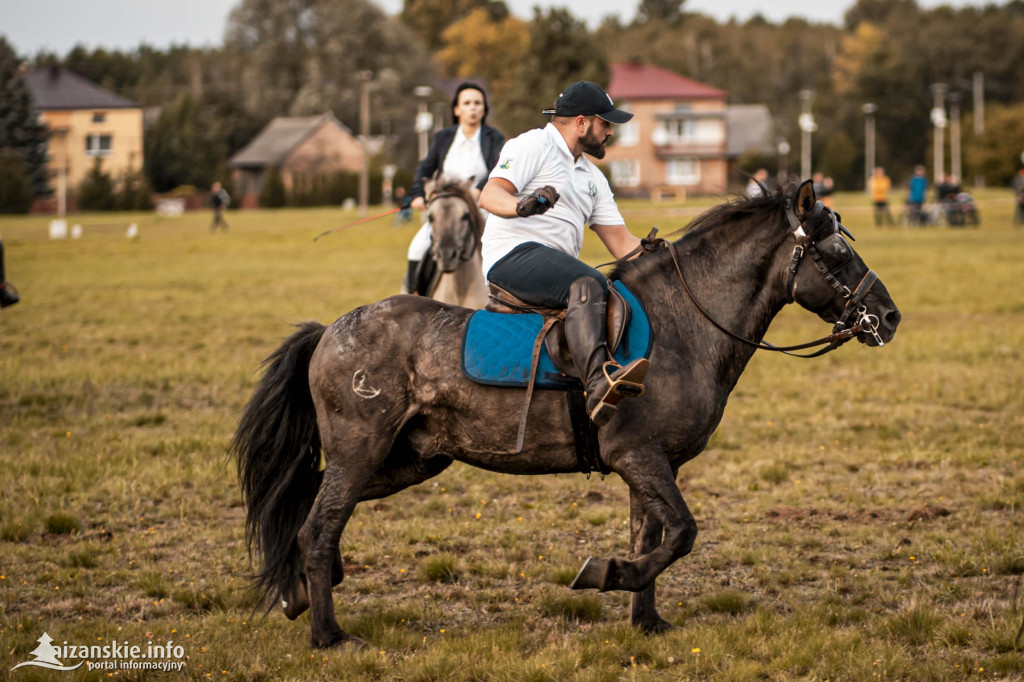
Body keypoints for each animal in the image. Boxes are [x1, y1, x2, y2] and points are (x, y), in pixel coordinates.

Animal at [230, 182, 897, 647]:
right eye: (837, 252)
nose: (888, 318)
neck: (685, 323)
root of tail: (331, 330)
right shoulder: (639, 457)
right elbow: (681, 533)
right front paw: (606, 574)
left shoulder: (649, 464)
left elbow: (651, 535)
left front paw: (646, 620)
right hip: (361, 451)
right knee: (318, 525)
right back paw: (327, 634)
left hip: (410, 460)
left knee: (306, 507)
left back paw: (296, 593)